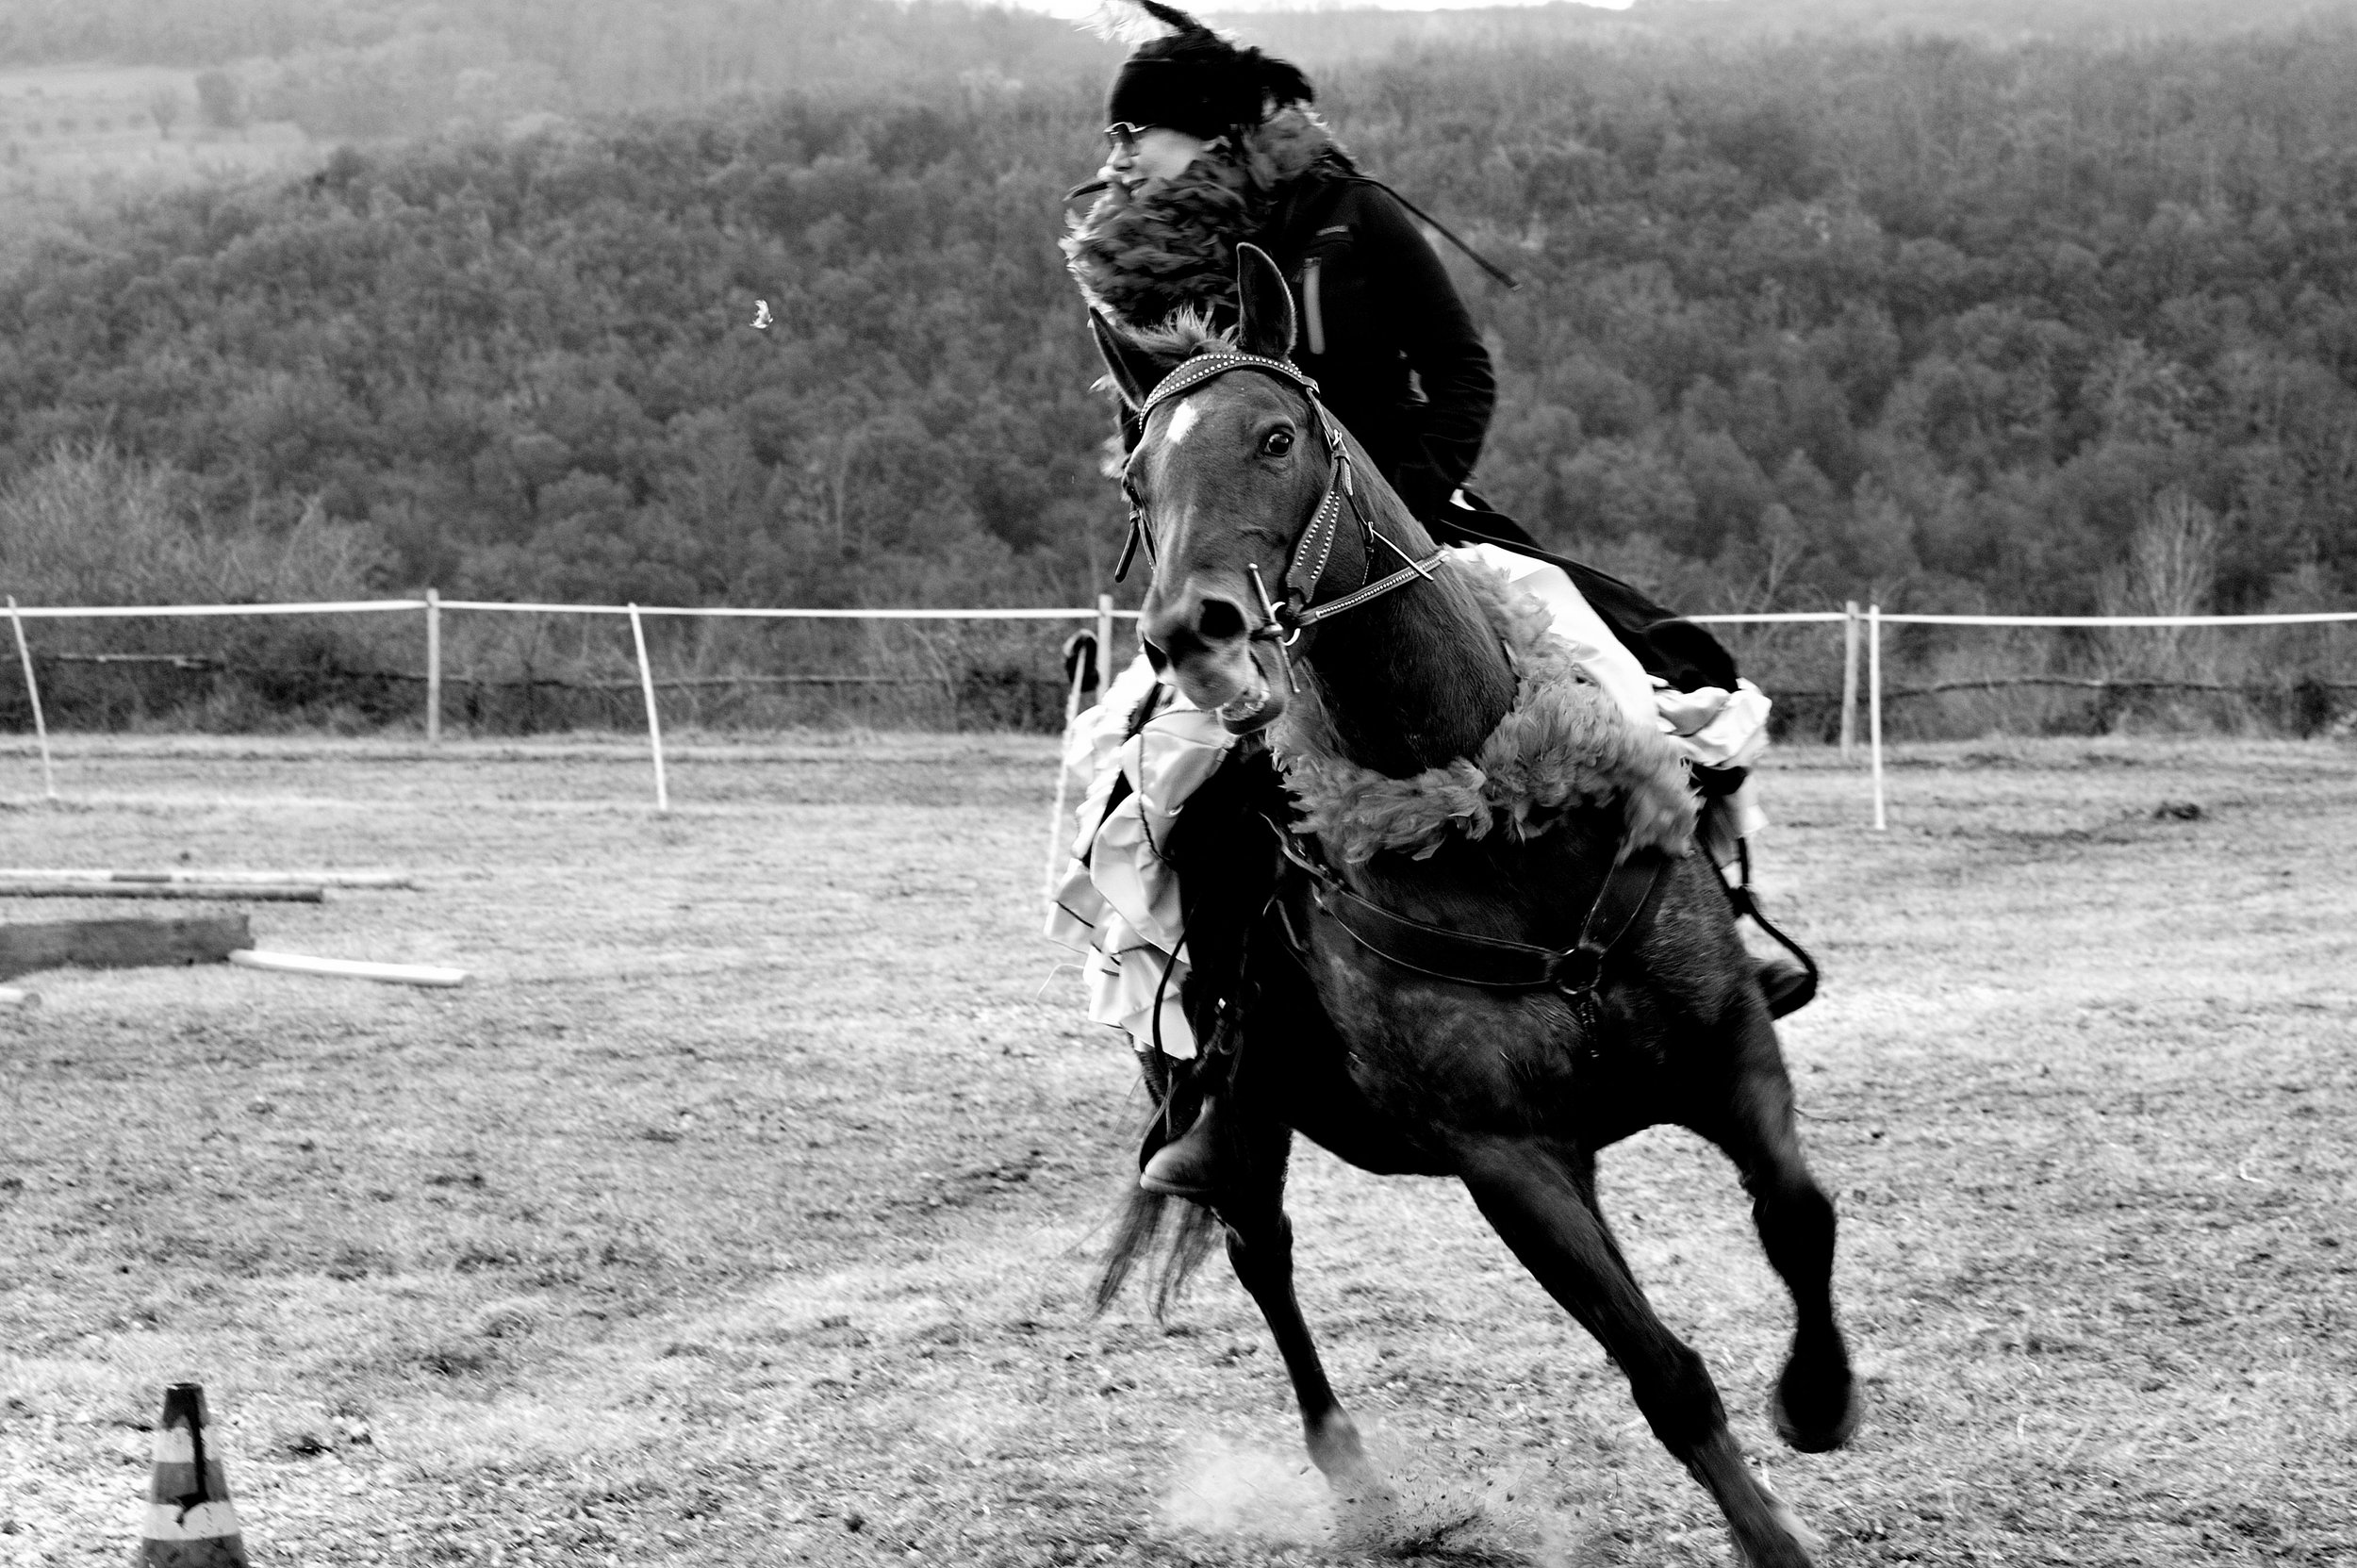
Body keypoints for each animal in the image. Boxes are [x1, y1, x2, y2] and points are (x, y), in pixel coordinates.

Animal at [1082, 245, 1860, 1568]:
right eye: (1138, 478)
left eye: (1276, 436)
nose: (1194, 632)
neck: (1499, 827)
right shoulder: (1507, 1162)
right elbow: (1664, 1373)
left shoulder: (1728, 1049)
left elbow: (1798, 1219)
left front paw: (1816, 1401)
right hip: (1231, 1110)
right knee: (1260, 1251)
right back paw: (1351, 1477)